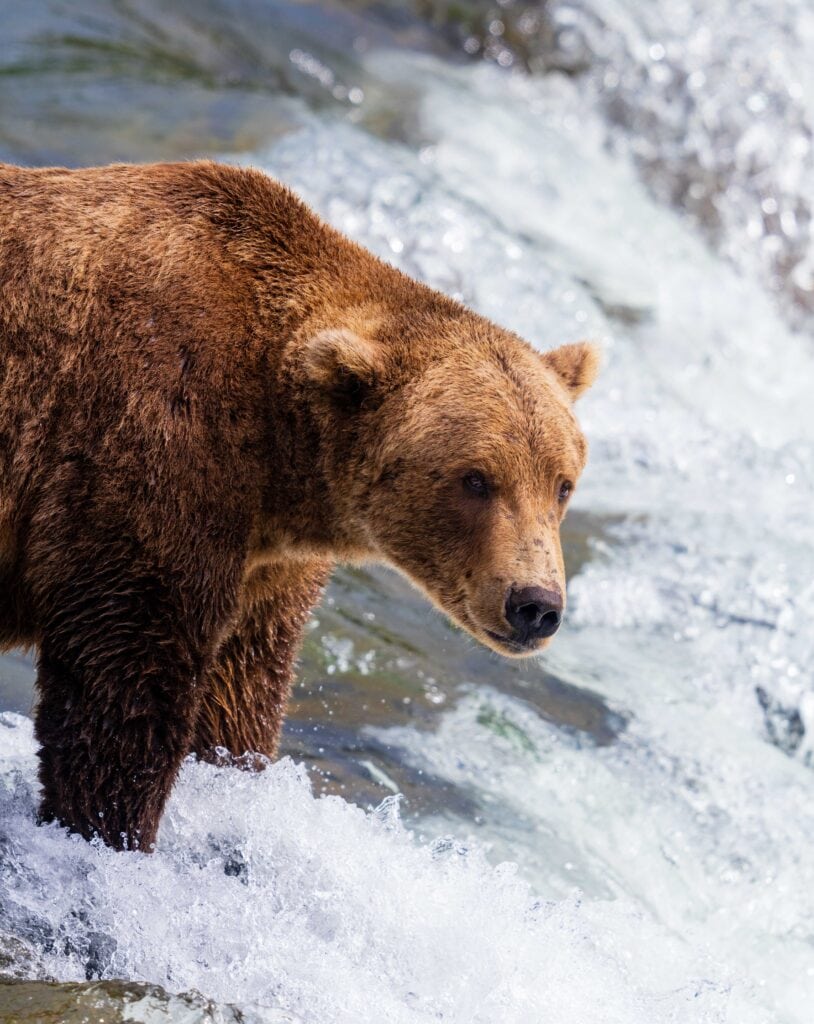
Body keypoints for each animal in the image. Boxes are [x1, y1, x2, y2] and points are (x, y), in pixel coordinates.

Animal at [0, 161, 599, 851]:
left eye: (562, 483)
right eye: (476, 479)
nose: (536, 605)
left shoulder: (263, 564)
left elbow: (238, 696)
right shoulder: (148, 443)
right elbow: (124, 685)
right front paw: (108, 829)